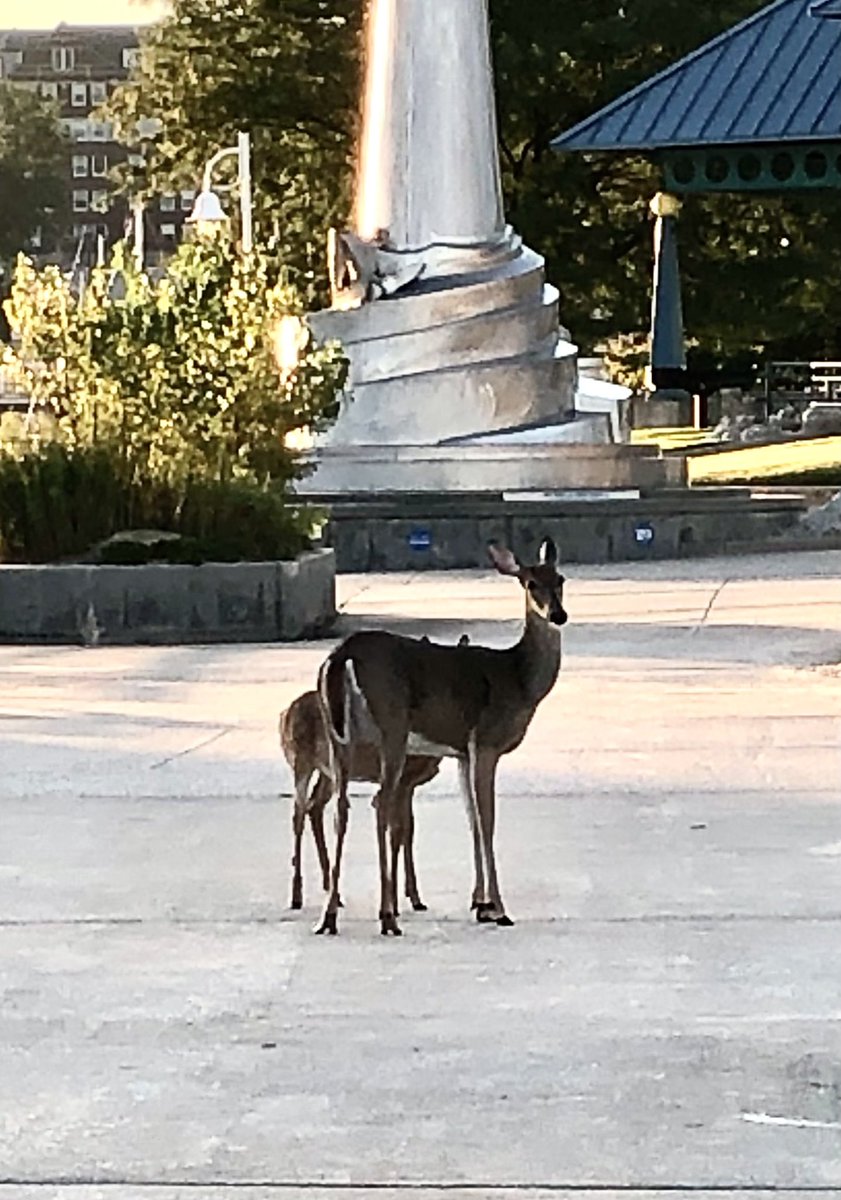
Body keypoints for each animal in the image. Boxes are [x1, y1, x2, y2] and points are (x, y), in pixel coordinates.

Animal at [315, 539, 567, 936]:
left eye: (560, 579)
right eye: (530, 583)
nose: (559, 615)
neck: (519, 680)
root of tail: (342, 657)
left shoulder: (462, 752)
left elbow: (471, 818)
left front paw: (479, 903)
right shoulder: (486, 741)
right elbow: (486, 819)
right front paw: (498, 908)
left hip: (337, 735)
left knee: (342, 807)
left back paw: (329, 916)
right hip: (392, 724)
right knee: (381, 803)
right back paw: (387, 916)